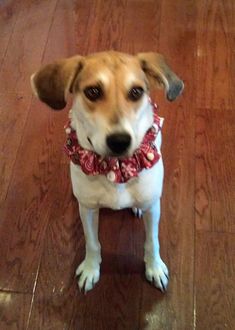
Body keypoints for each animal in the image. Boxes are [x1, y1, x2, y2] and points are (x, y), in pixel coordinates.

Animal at [30, 51, 184, 292]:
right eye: (92, 91)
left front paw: (155, 267)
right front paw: (90, 269)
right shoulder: (88, 210)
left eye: (136, 92)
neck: (116, 167)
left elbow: (152, 241)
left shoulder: (153, 207)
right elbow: (92, 242)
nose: (119, 141)